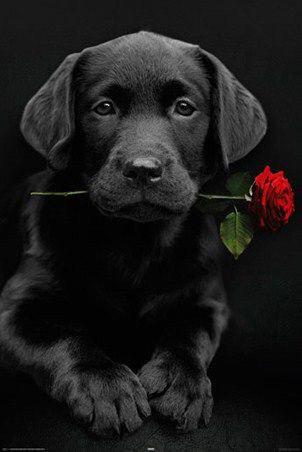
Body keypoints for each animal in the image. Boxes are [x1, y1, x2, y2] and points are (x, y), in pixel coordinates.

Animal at [0, 30, 266, 434]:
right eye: (104, 108)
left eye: (184, 107)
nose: (143, 168)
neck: (135, 243)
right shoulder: (18, 308)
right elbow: (65, 337)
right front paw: (106, 386)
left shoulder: (207, 300)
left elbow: (189, 334)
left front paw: (181, 382)